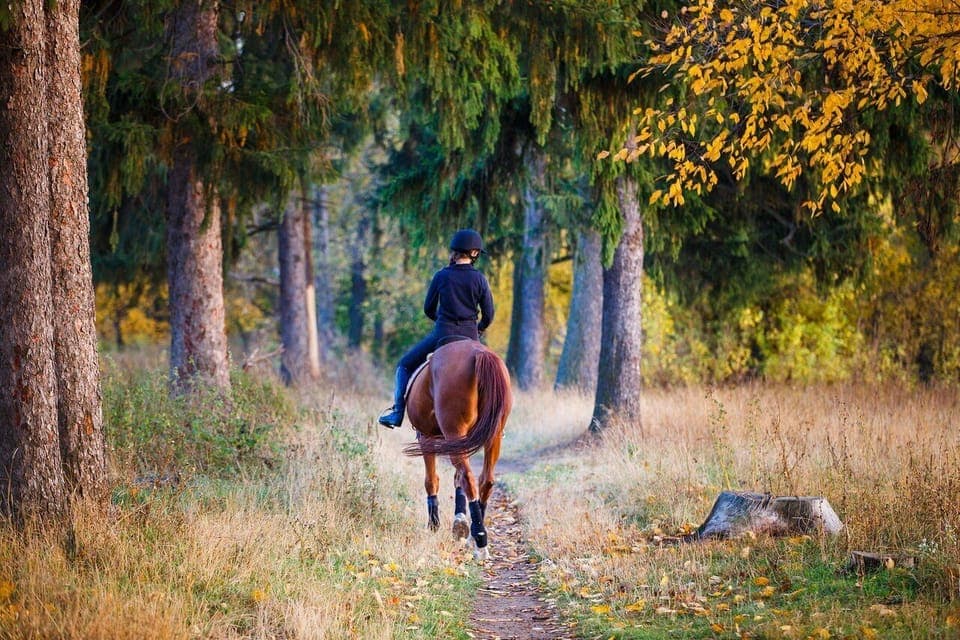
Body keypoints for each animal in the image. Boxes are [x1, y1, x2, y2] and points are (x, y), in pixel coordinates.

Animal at [403, 338, 512, 560]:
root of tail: (479, 353)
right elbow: (456, 480)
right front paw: (459, 523)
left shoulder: (426, 437)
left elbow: (431, 480)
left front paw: (434, 525)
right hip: (492, 435)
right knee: (485, 480)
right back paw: (474, 536)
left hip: (453, 431)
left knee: (468, 478)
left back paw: (480, 539)